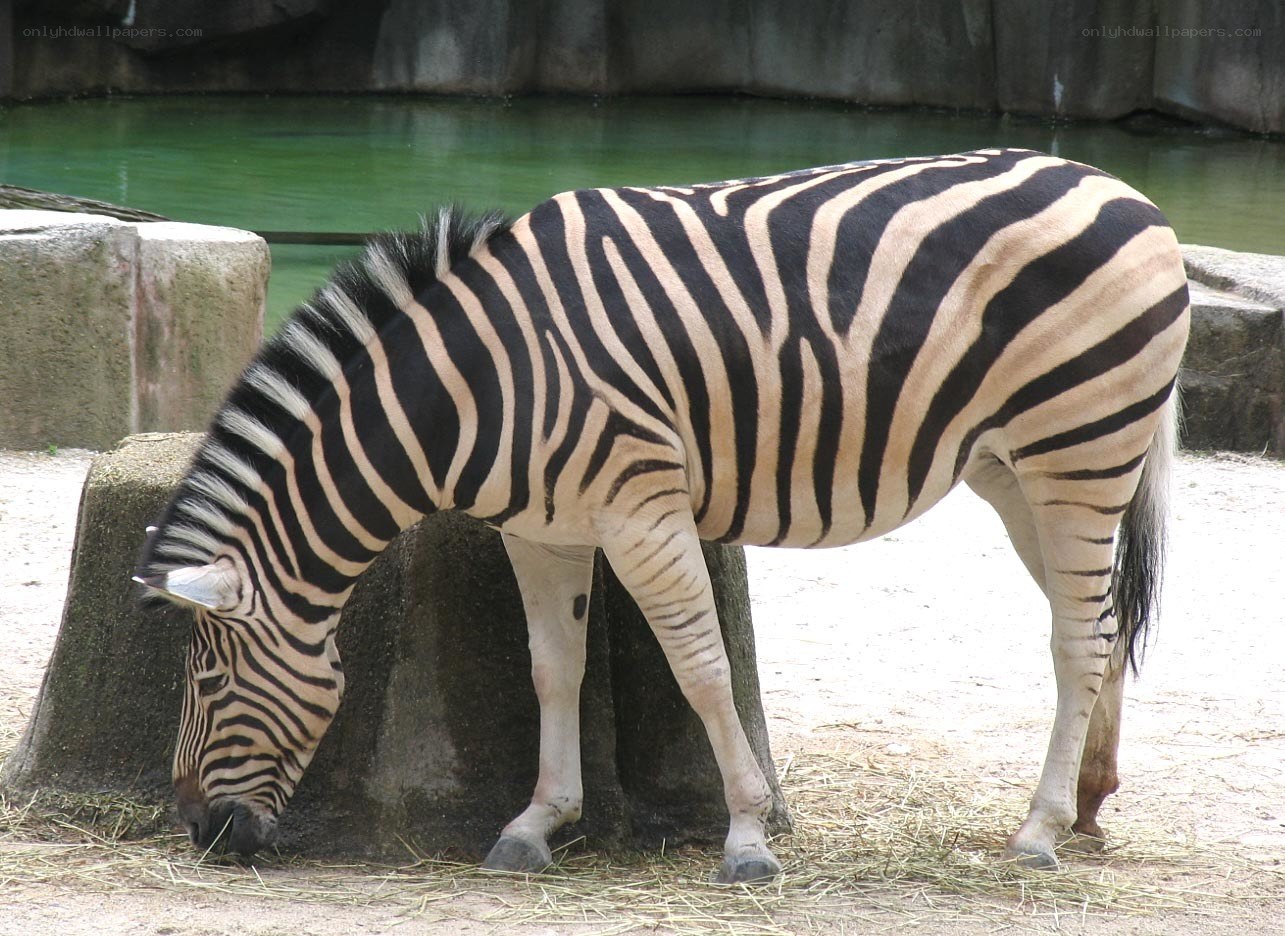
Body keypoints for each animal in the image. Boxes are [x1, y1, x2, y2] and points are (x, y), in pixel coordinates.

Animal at [135, 148, 1189, 883]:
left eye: (208, 684)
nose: (198, 830)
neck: (476, 389)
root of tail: (1117, 186)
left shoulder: (641, 508)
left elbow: (702, 669)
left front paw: (747, 839)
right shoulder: (541, 528)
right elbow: (551, 669)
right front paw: (535, 824)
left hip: (1078, 447)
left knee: (1079, 635)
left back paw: (1037, 831)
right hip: (1012, 466)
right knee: (1094, 618)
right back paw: (1085, 802)